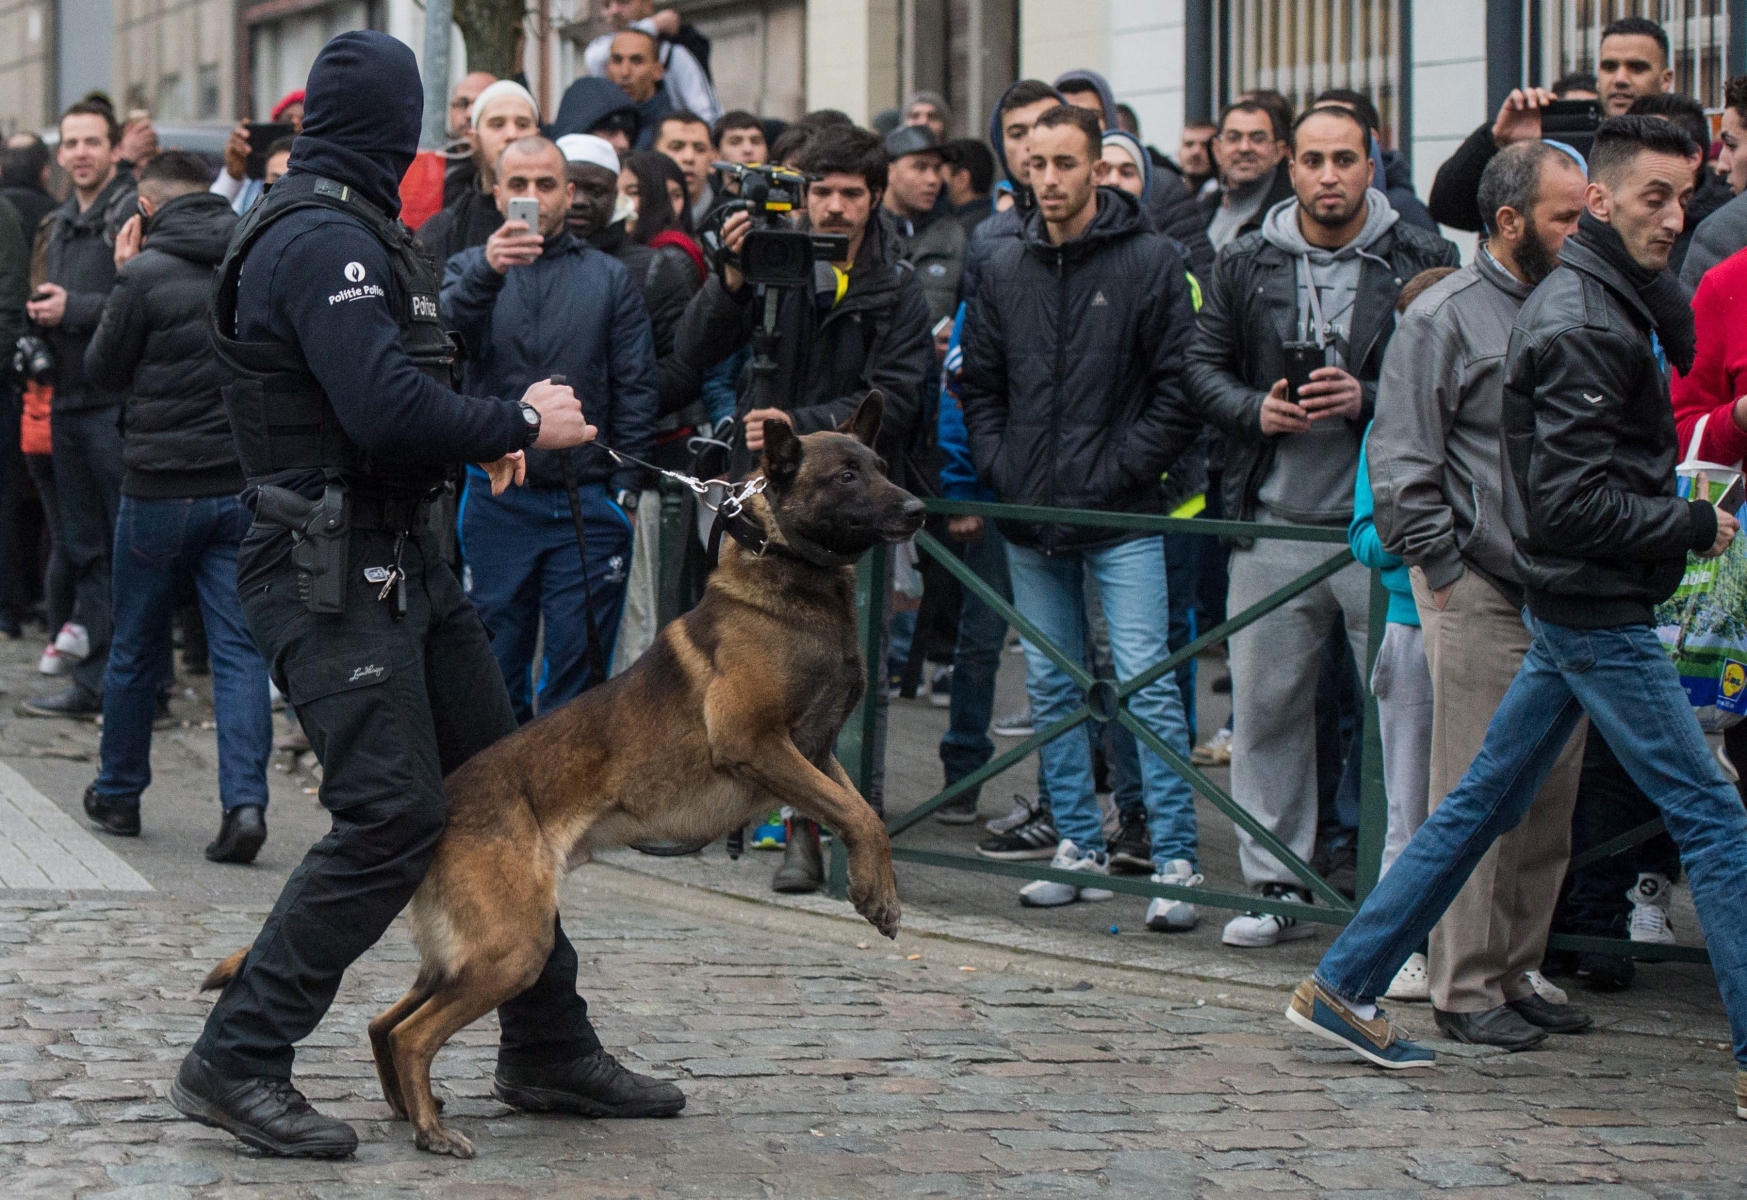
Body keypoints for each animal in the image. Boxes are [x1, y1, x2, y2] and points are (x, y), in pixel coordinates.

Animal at [198, 394, 922, 1152]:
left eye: (880, 465)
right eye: (846, 475)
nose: (919, 508)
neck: (787, 574)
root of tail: (445, 803)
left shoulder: (815, 754)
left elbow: (858, 813)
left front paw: (876, 887)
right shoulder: (756, 743)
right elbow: (861, 815)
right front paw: (877, 896)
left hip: (474, 951)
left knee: (384, 1021)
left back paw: (411, 1109)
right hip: (514, 947)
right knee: (412, 1033)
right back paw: (427, 1129)